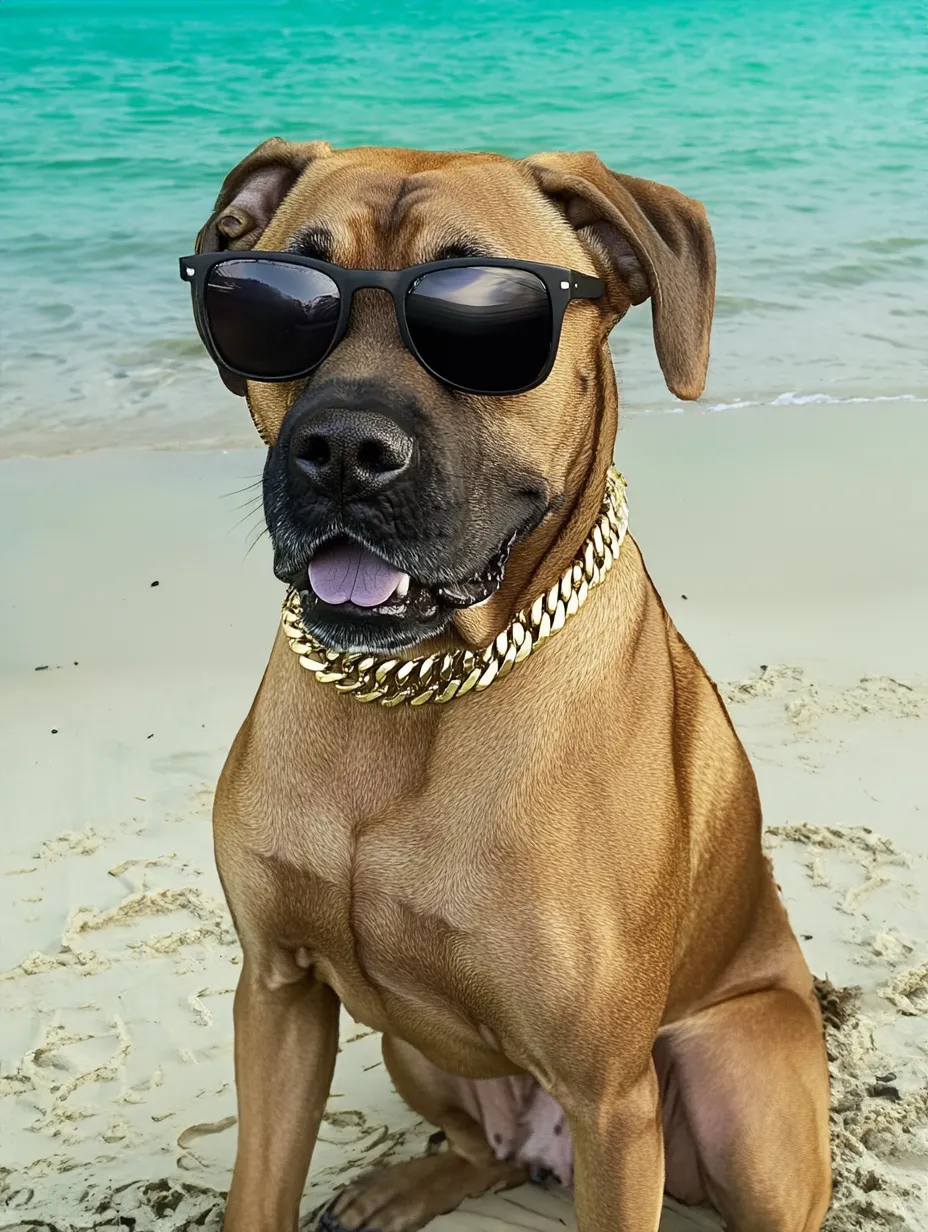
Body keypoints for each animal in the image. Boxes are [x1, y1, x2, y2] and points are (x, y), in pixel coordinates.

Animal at [188, 139, 833, 1227]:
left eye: (483, 317)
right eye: (279, 303)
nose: (343, 452)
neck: (422, 688)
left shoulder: (613, 1099)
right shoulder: (276, 993)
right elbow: (256, 1191)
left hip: (732, 1075)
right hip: (413, 1046)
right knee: (481, 1146)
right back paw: (407, 1183)